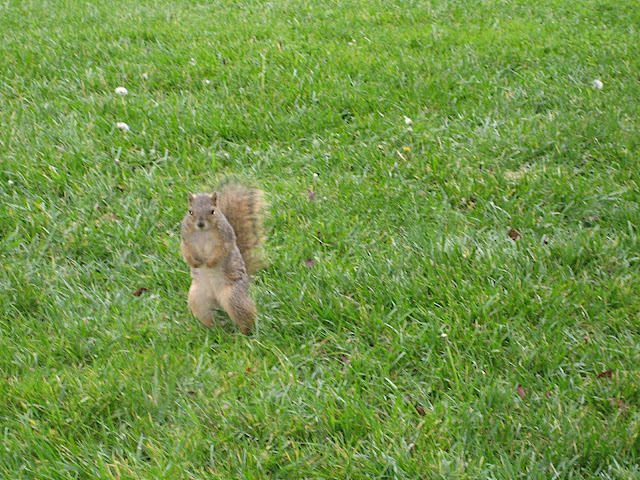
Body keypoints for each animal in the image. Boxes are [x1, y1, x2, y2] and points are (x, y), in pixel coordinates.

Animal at [180, 182, 265, 335]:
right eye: (190, 212)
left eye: (212, 211)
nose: (200, 224)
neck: (203, 232)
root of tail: (215, 298)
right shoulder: (185, 238)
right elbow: (186, 250)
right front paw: (195, 263)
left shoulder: (226, 238)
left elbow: (222, 251)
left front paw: (209, 263)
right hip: (198, 299)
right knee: (206, 316)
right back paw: (212, 329)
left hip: (233, 297)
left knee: (245, 315)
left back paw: (244, 333)